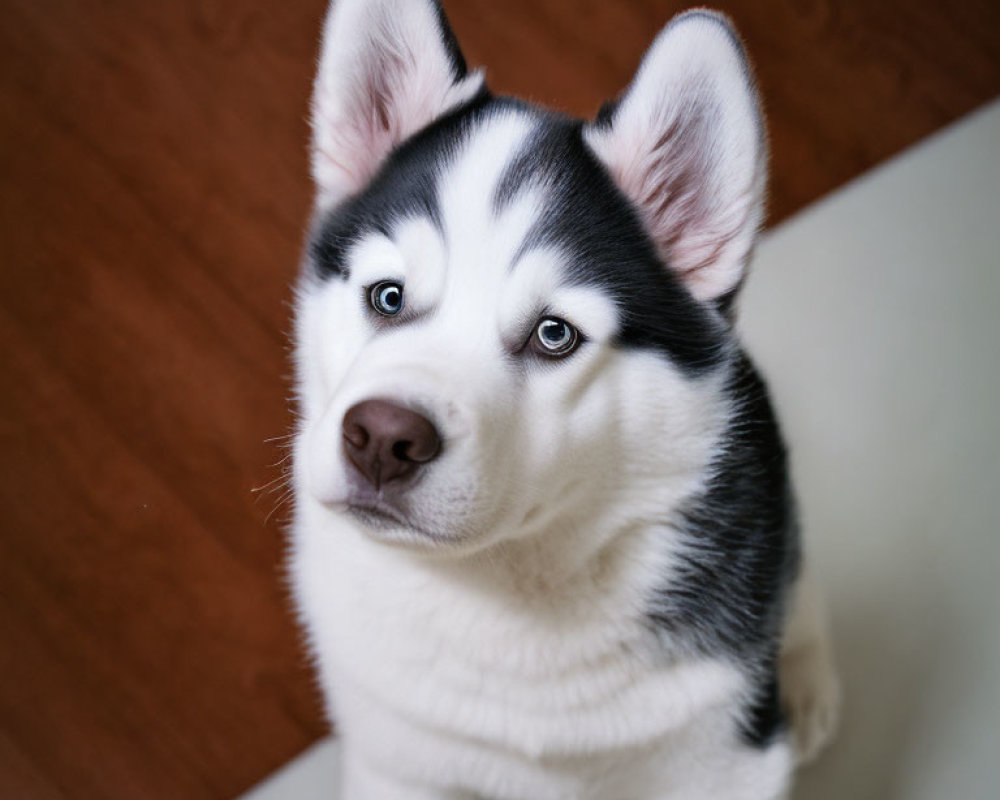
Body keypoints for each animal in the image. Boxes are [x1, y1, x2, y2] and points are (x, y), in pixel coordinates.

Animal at [288, 3, 836, 796]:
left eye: (554, 335)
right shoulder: (396, 757)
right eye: (386, 296)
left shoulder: (726, 758)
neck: (506, 590)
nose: (382, 439)